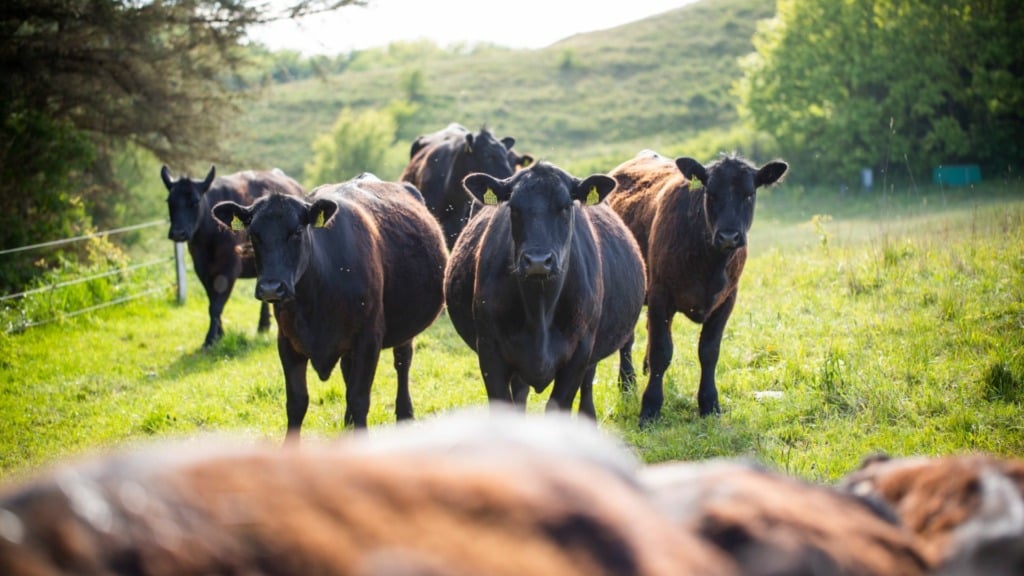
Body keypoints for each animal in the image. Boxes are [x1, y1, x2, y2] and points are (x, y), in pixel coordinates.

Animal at [159, 163, 303, 348]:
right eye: (170, 202)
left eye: (195, 202)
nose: (178, 233)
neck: (207, 237)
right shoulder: (202, 268)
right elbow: (212, 301)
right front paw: (219, 334)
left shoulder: (228, 268)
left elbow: (216, 304)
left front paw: (210, 339)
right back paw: (263, 326)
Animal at [209, 172, 446, 436]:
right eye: (253, 234)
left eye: (297, 231)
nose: (271, 287)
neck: (315, 301)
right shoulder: (287, 341)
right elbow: (297, 402)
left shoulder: (369, 338)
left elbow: (359, 398)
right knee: (347, 370)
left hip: (405, 327)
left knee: (402, 361)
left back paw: (404, 413)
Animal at [444, 158, 643, 414]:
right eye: (513, 207)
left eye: (566, 206)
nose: (538, 261)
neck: (539, 309)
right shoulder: (489, 351)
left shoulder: (579, 352)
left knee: (589, 384)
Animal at [606, 150, 790, 424]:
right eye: (710, 193)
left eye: (749, 194)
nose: (728, 236)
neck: (711, 263)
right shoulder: (660, 294)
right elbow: (662, 351)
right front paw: (650, 407)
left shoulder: (727, 299)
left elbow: (709, 351)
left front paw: (709, 404)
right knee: (628, 341)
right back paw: (627, 384)